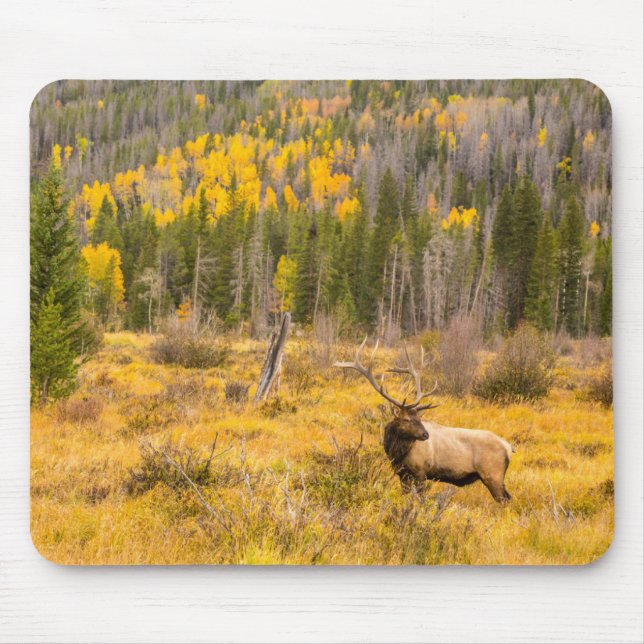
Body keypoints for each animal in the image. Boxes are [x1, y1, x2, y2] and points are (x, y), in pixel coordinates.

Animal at [334, 338, 514, 504]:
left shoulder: (421, 472)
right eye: (407, 419)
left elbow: (420, 498)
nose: (426, 434)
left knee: (505, 500)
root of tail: (509, 447)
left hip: (493, 475)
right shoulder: (402, 473)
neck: (396, 453)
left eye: (419, 418)